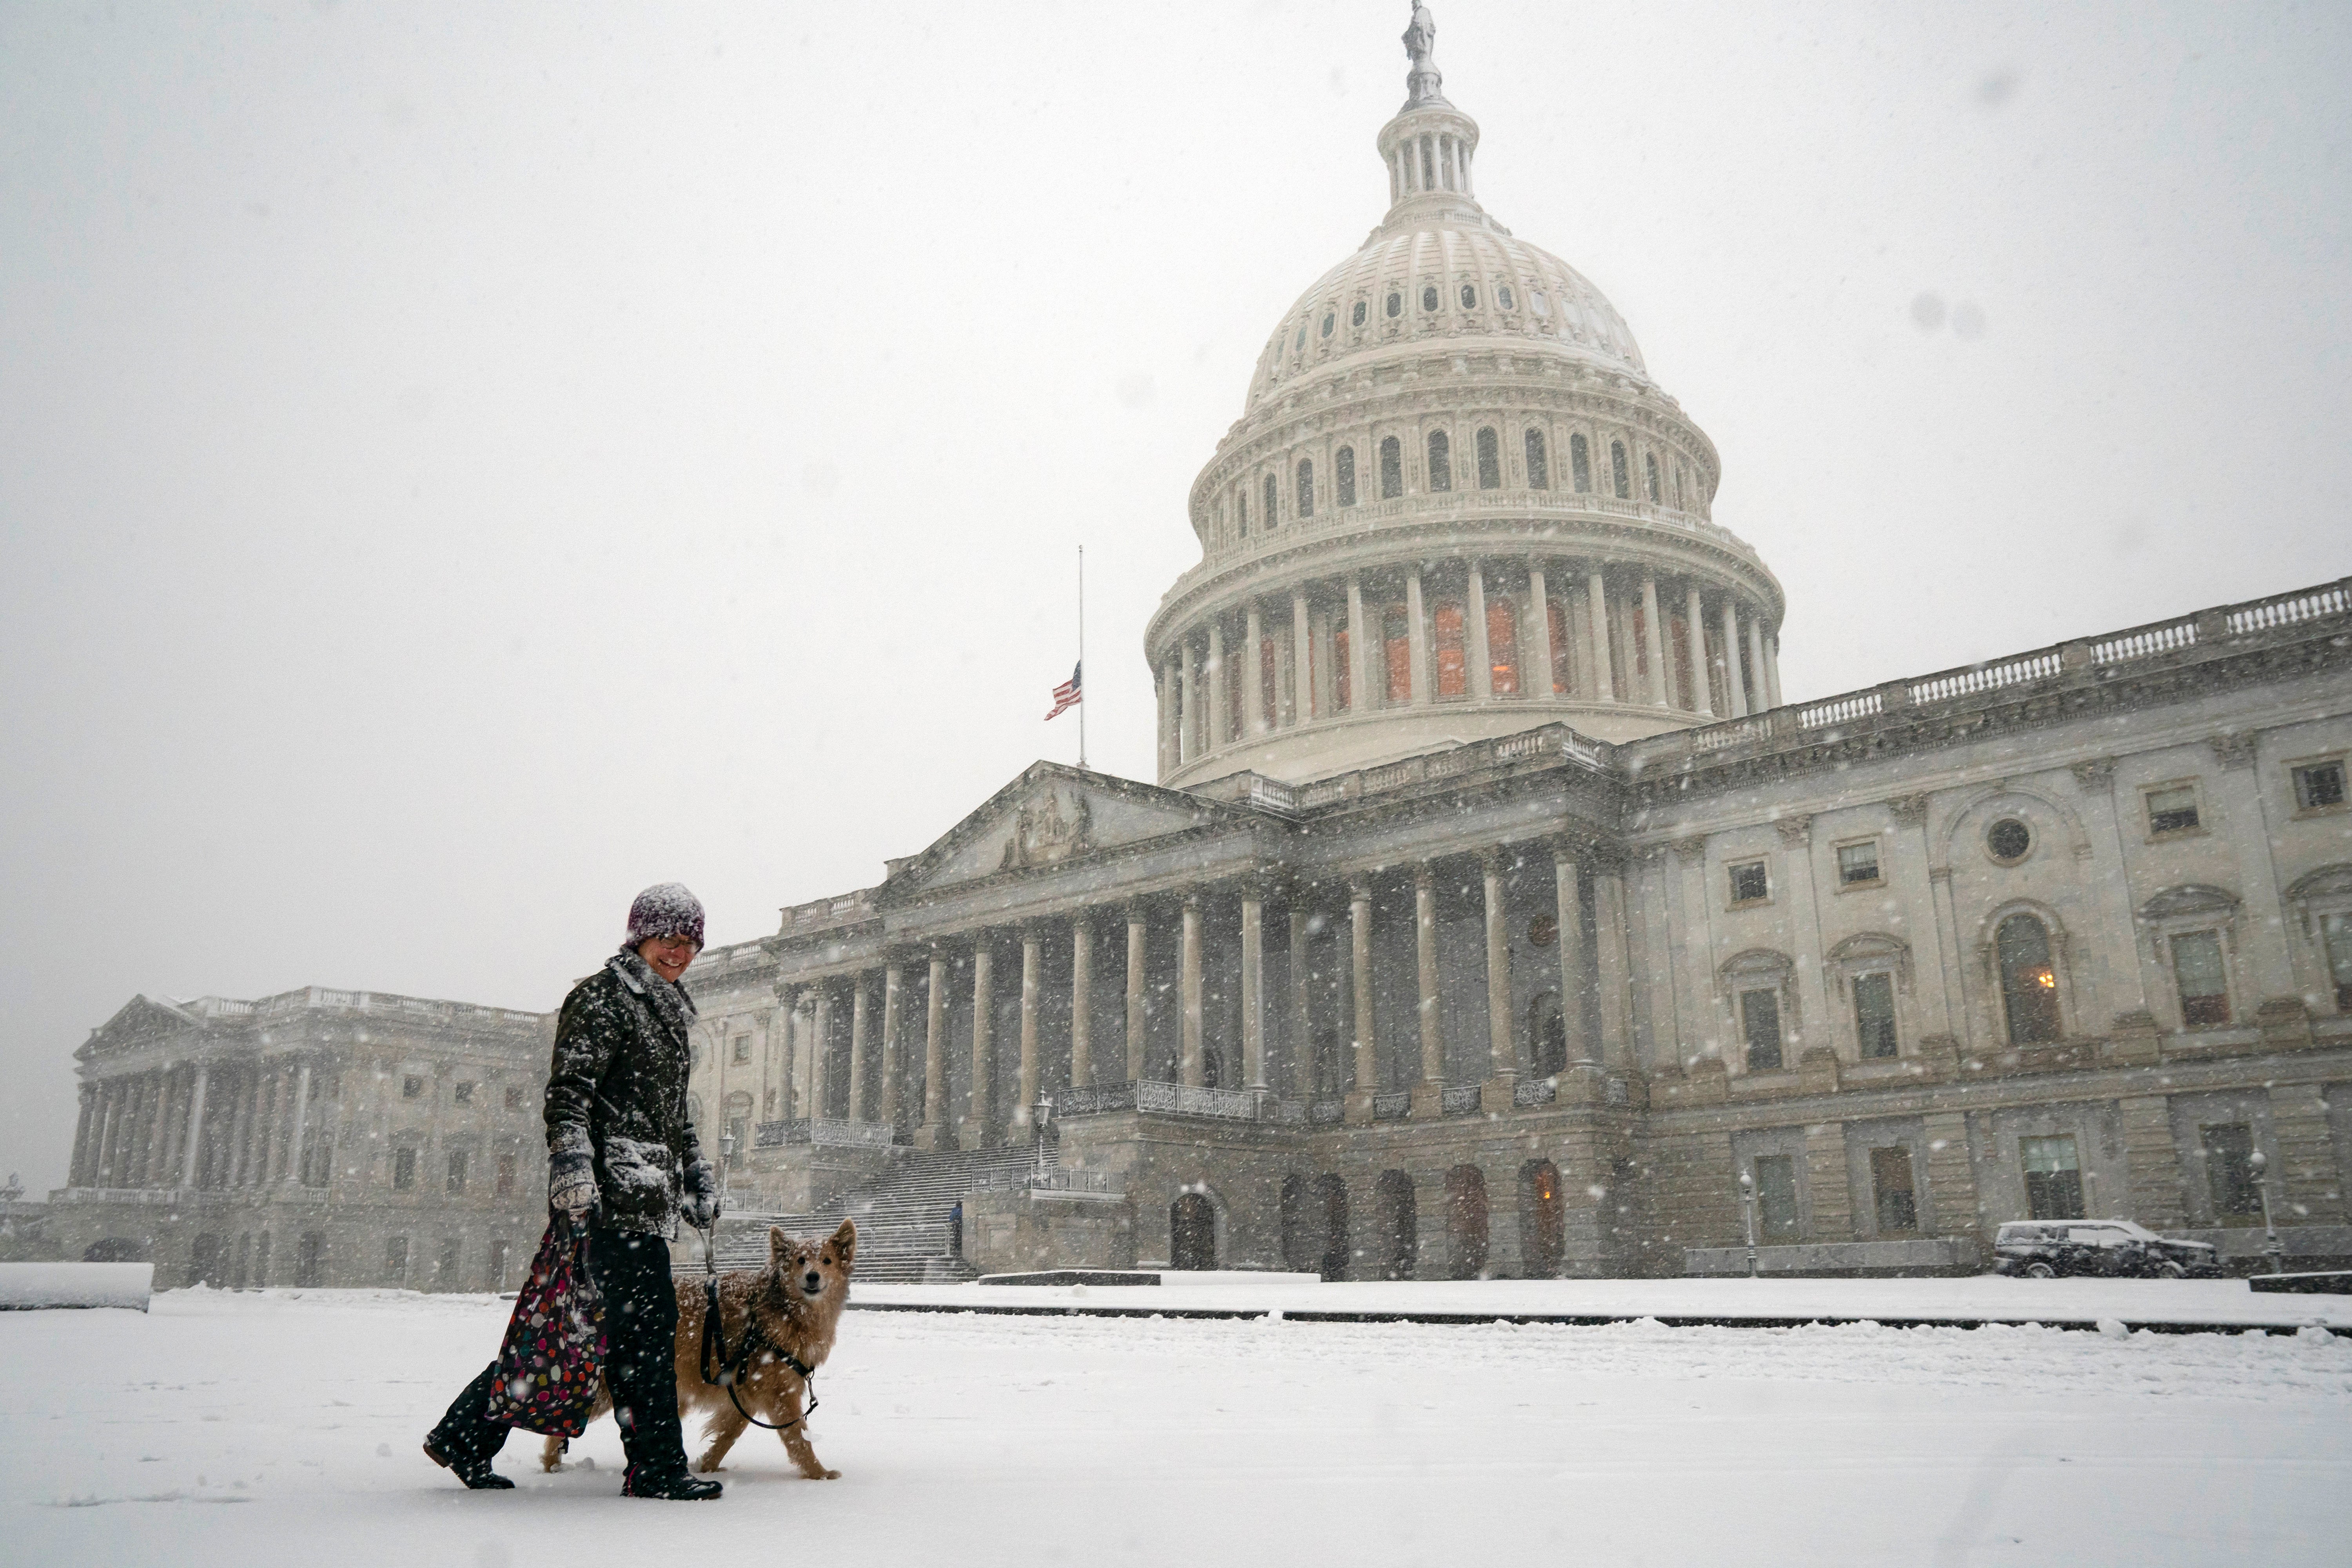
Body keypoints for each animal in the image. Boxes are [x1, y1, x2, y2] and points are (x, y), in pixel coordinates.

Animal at [541, 1222, 856, 1486]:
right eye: (800, 1260)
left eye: (827, 1261)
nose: (813, 1277)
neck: (785, 1310)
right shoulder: (778, 1394)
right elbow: (799, 1437)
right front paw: (819, 1474)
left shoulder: (744, 1395)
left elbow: (729, 1435)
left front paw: (707, 1466)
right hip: (607, 1389)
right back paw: (550, 1464)